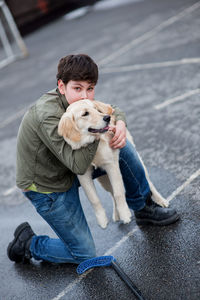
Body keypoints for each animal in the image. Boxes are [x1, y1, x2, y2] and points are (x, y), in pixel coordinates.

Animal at [58, 99, 169, 229]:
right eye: (85, 113)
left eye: (96, 109)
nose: (107, 118)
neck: (92, 146)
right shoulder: (83, 175)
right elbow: (95, 199)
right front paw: (102, 220)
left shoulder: (112, 165)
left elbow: (118, 193)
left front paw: (125, 214)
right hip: (103, 179)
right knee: (111, 192)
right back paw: (116, 214)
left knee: (148, 183)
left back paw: (161, 201)